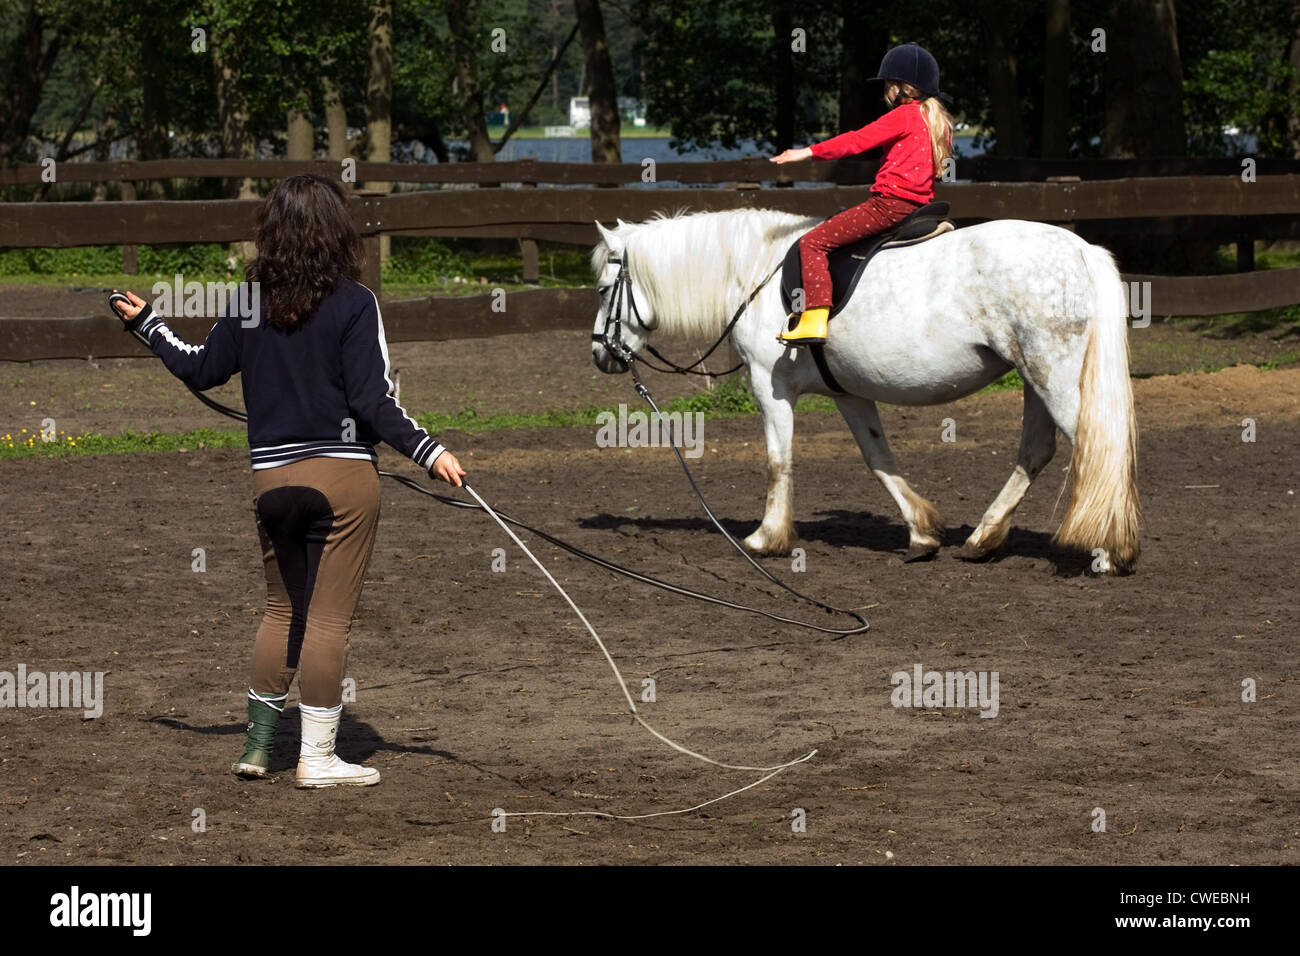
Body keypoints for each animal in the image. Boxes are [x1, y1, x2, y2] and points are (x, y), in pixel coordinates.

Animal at [589, 208, 1140, 574]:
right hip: (1034, 380)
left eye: (602, 289)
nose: (600, 353)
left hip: (1056, 379)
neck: (757, 270)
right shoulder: (849, 394)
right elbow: (879, 459)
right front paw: (922, 531)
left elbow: (777, 461)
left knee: (1098, 449)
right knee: (1037, 451)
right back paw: (984, 537)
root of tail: (1079, 248)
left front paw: (767, 536)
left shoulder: (770, 386)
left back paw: (1108, 551)